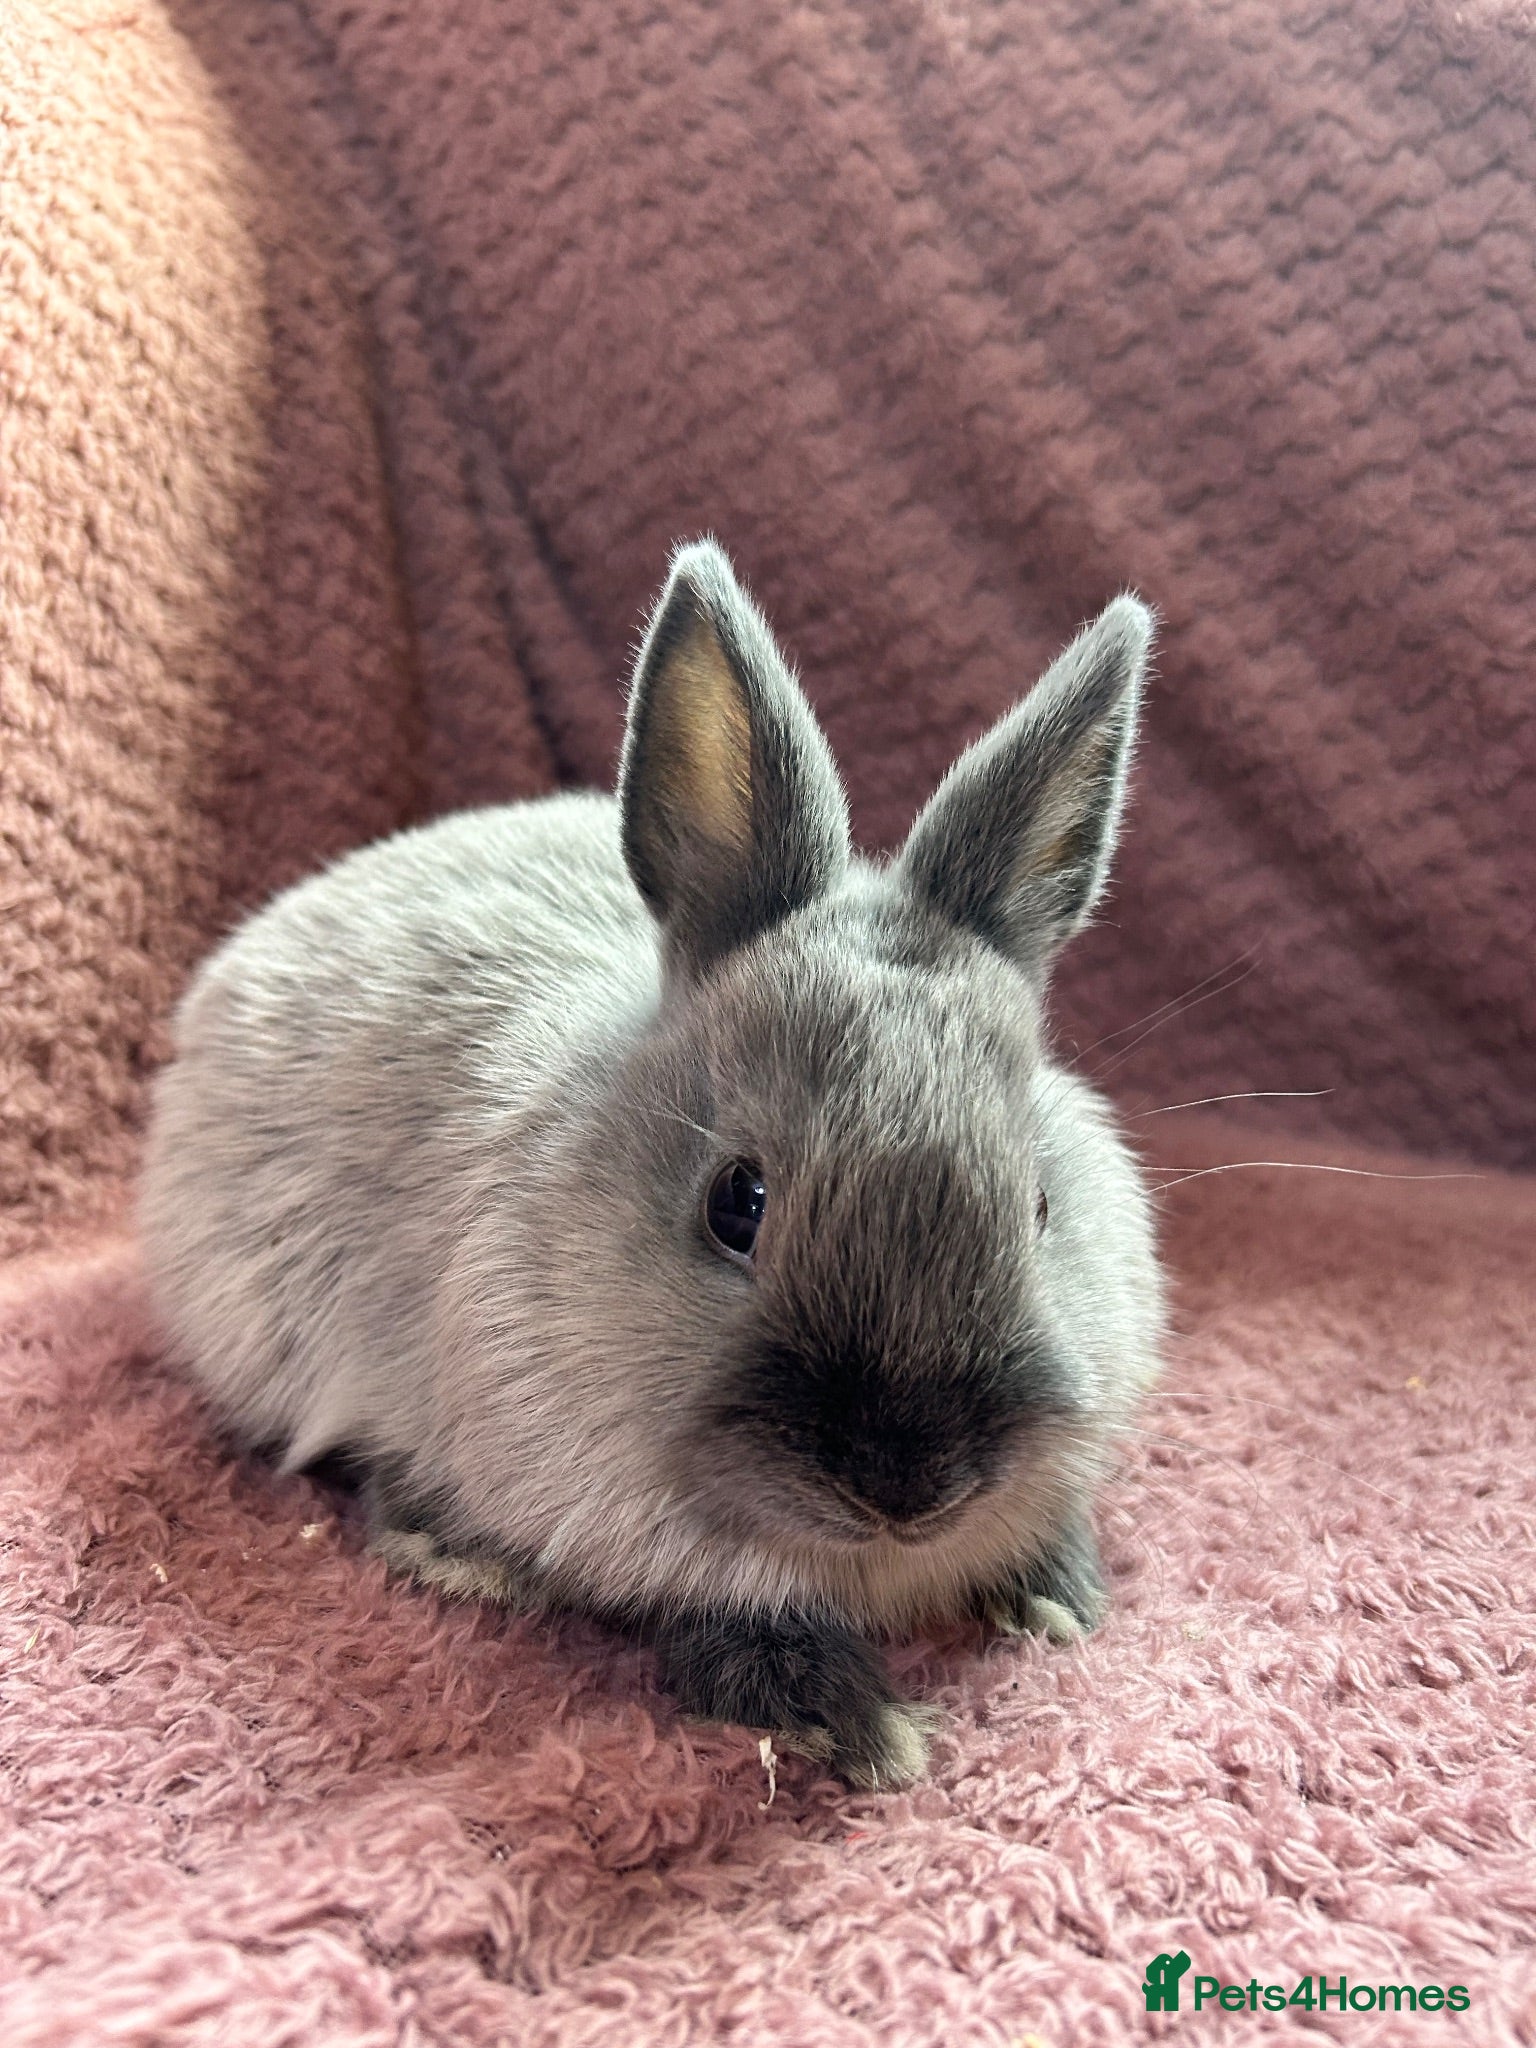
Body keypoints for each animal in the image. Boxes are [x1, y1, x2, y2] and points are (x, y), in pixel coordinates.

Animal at [139, 539, 1165, 1790]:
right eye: (738, 1201)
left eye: (1040, 1202)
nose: (905, 1479)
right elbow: (724, 1619)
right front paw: (861, 1727)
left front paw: (1063, 1599)